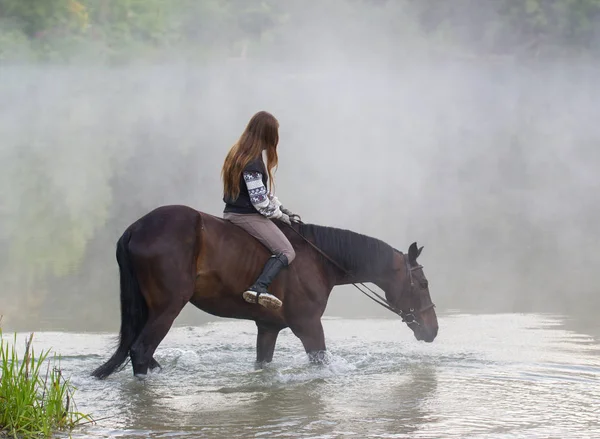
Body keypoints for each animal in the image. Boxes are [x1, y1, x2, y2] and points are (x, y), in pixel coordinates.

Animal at [91, 205, 438, 380]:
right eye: (422, 284)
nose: (433, 330)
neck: (319, 259)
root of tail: (136, 228)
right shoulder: (309, 327)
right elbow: (321, 364)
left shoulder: (268, 327)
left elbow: (263, 364)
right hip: (167, 308)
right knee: (140, 351)